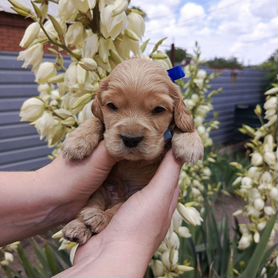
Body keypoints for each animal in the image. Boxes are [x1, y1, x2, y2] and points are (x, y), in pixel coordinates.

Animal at [62, 58, 203, 243]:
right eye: (112, 106)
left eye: (159, 109)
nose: (131, 139)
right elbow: (96, 121)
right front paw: (77, 140)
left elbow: (184, 124)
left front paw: (190, 142)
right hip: (101, 190)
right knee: (96, 205)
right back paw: (79, 226)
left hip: (128, 198)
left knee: (115, 210)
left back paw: (96, 218)